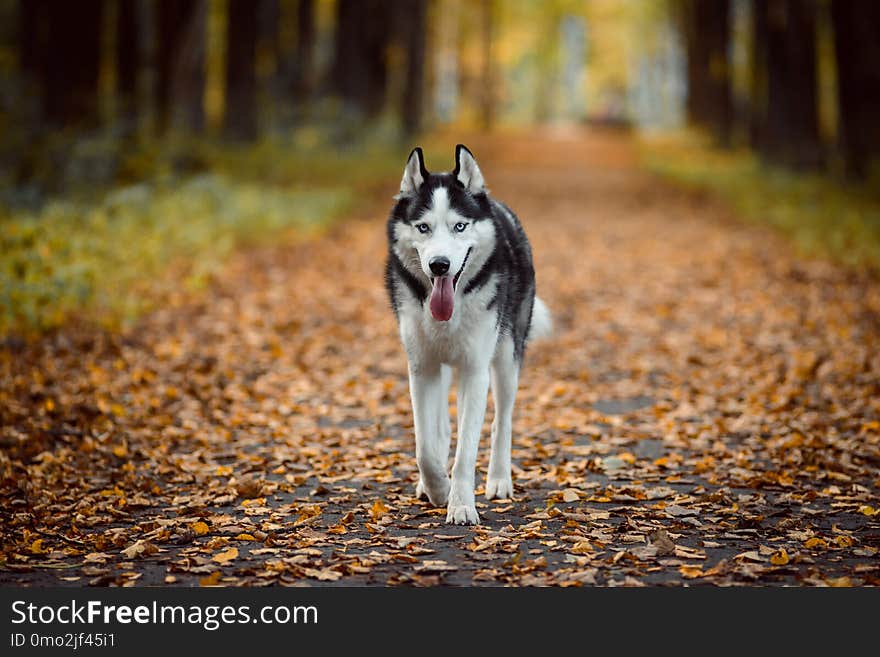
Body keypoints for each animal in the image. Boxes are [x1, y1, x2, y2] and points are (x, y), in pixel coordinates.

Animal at [384, 144, 552, 524]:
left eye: (459, 226)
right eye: (423, 227)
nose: (439, 265)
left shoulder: (476, 371)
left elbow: (467, 448)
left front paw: (460, 504)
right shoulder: (421, 369)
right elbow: (424, 446)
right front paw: (437, 489)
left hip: (505, 359)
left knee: (501, 422)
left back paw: (499, 480)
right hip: (447, 368)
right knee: (442, 429)